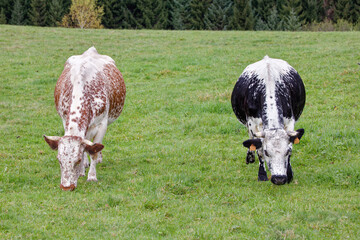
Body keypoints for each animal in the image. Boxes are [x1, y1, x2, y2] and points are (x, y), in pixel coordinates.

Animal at [43, 46, 126, 190]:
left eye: (77, 160)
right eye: (59, 160)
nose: (66, 187)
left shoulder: (102, 125)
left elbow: (94, 151)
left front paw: (92, 176)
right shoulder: (65, 120)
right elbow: (85, 147)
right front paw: (82, 171)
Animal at [232, 56, 306, 186]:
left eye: (288, 152)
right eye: (267, 152)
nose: (279, 179)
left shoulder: (289, 122)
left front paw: (289, 174)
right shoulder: (253, 125)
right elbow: (259, 149)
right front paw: (262, 175)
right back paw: (250, 156)